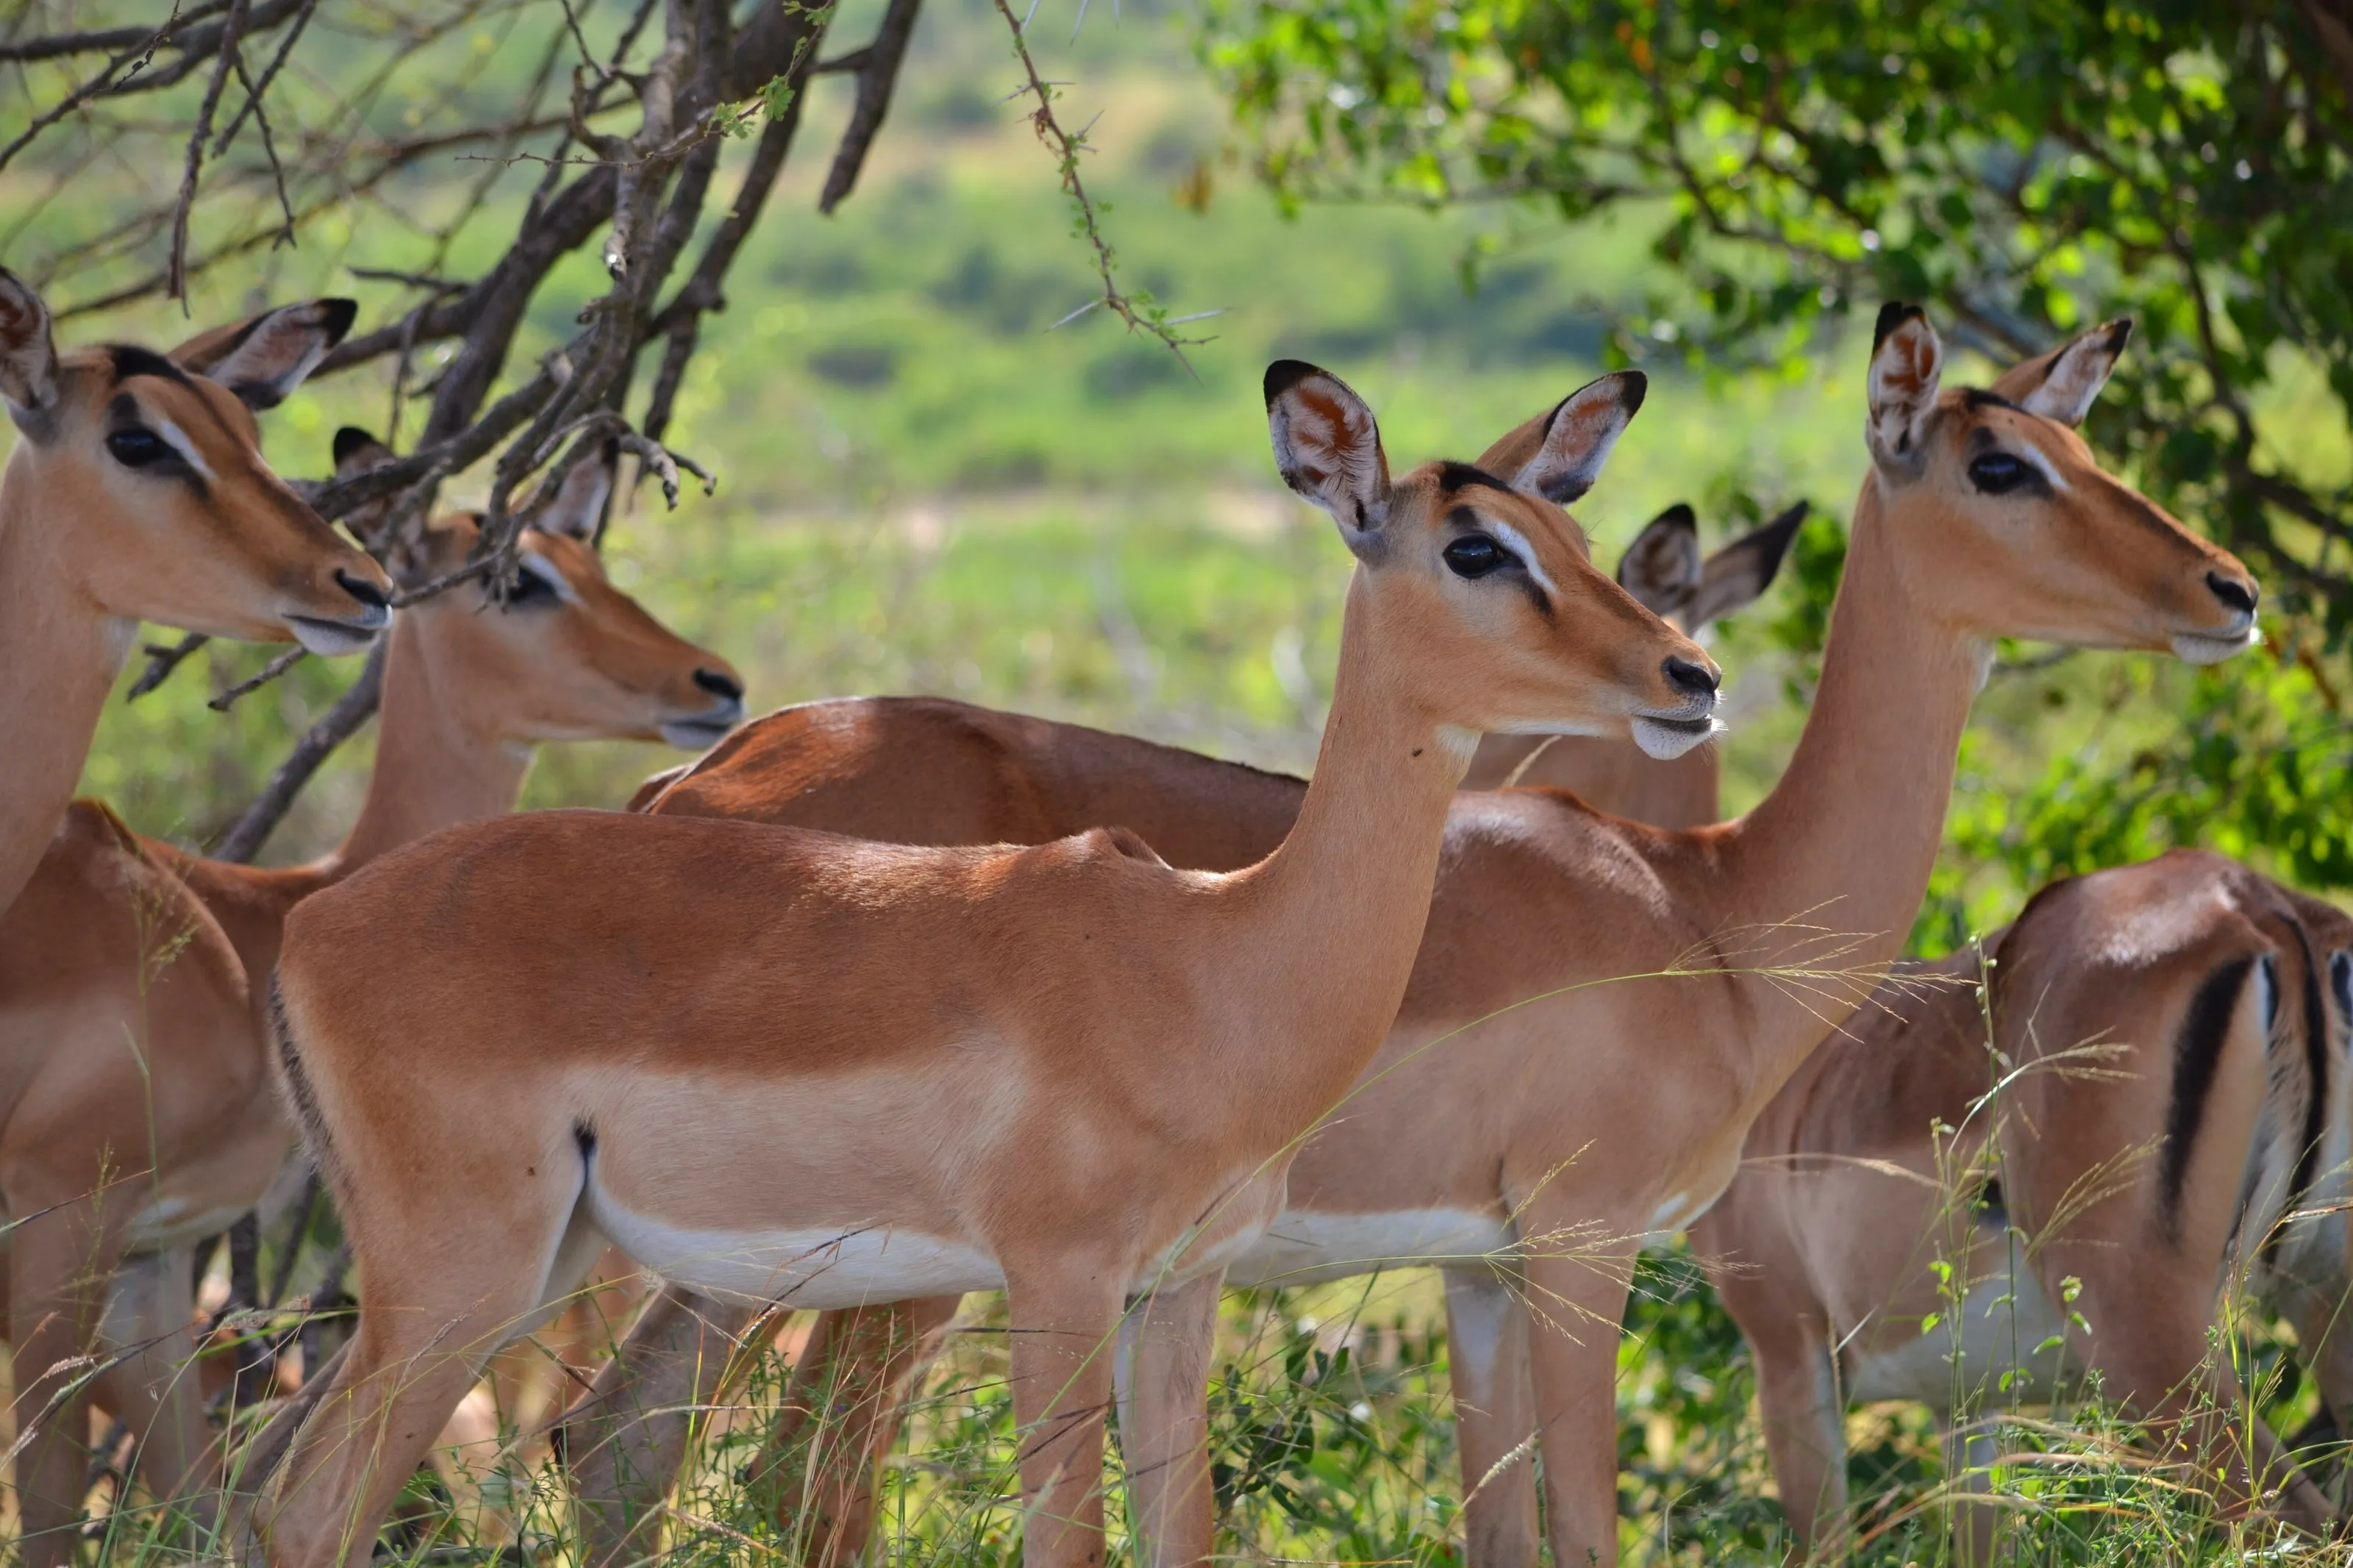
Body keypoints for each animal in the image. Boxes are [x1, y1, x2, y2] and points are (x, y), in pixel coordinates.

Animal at [0, 432, 743, 1566]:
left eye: (592, 555)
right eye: (521, 577)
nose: (714, 681)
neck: (251, 922)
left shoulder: (148, 1257)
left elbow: (192, 1502)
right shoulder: (61, 1229)